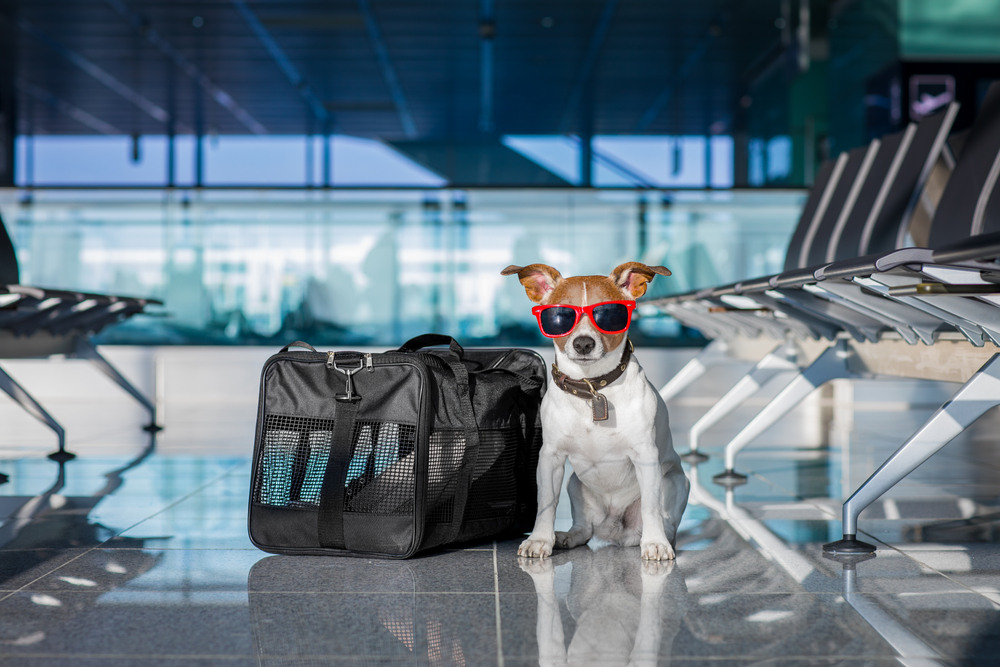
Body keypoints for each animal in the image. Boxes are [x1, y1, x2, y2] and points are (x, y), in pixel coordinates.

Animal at [500, 264, 688, 560]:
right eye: (560, 316)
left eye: (608, 314)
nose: (583, 344)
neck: (591, 386)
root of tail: (614, 530)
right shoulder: (550, 457)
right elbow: (546, 503)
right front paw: (540, 539)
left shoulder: (646, 457)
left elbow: (651, 506)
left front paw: (655, 543)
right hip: (575, 485)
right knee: (584, 530)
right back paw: (565, 537)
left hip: (675, 481)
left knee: (664, 519)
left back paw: (659, 538)